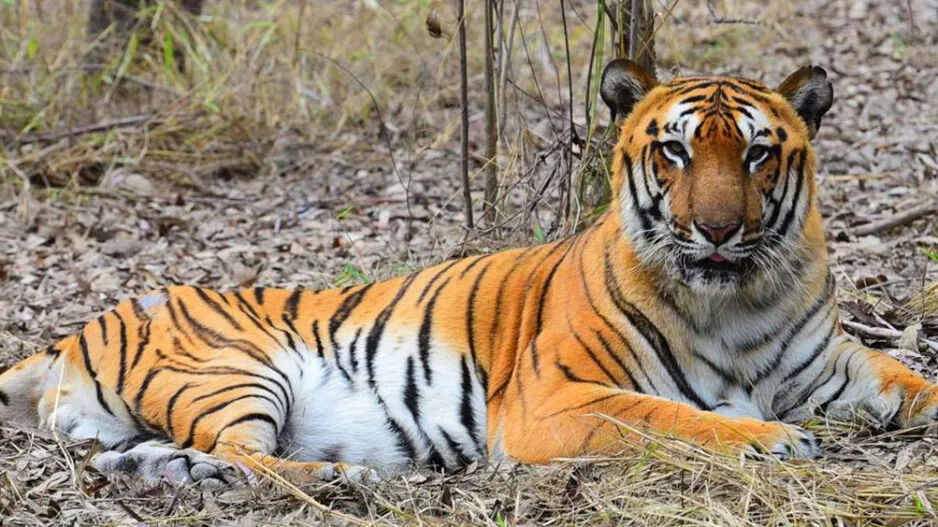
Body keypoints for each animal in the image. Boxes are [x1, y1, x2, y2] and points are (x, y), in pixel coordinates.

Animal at [2, 59, 937, 487]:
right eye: (674, 152)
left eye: (755, 153)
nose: (715, 228)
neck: (738, 300)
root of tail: (73, 329)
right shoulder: (552, 399)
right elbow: (675, 417)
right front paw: (770, 439)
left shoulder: (831, 363)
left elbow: (911, 378)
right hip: (235, 371)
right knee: (249, 454)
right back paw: (345, 475)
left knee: (187, 455)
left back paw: (168, 472)